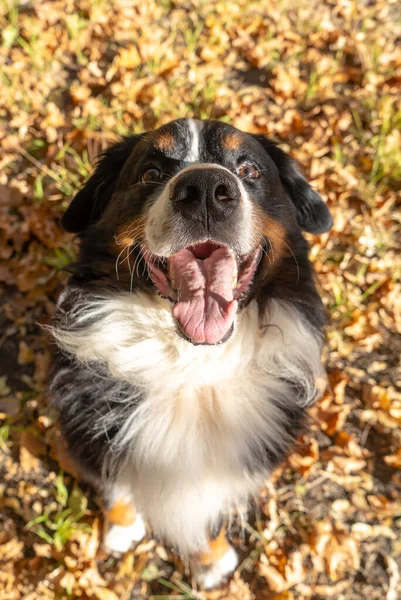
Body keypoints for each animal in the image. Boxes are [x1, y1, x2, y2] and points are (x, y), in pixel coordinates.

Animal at [50, 118, 332, 592]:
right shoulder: (89, 433)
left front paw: (210, 561)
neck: (191, 366)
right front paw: (122, 526)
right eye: (150, 173)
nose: (204, 190)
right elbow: (118, 485)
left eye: (249, 170)